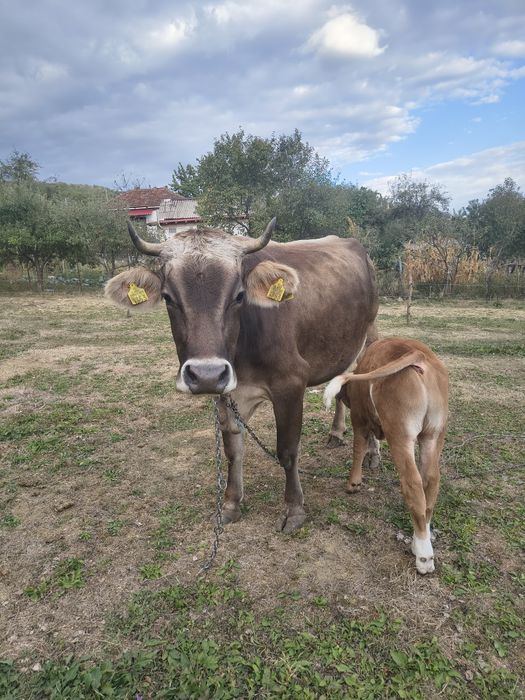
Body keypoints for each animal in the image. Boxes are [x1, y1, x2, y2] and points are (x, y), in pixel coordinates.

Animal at [105, 219, 378, 533]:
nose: (206, 373)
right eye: (167, 297)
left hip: (370, 338)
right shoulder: (228, 390)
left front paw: (294, 509)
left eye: (239, 295)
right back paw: (336, 433)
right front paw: (230, 504)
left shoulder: (291, 385)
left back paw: (372, 452)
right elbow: (233, 450)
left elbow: (287, 451)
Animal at [324, 338, 449, 573]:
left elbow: (358, 448)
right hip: (433, 435)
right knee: (430, 483)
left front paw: (353, 483)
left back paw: (424, 557)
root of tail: (417, 353)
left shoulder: (359, 419)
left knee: (413, 484)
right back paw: (420, 541)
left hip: (400, 434)